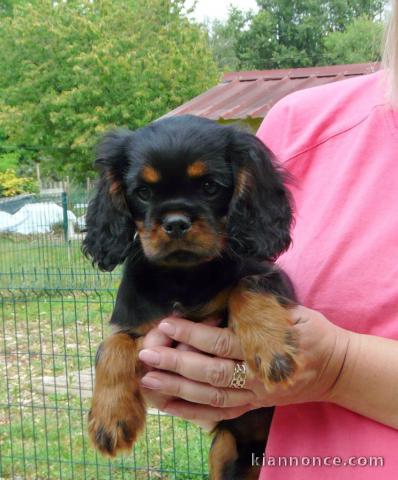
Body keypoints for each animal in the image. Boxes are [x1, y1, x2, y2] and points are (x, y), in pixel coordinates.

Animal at [83, 115, 298, 480]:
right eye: (143, 192)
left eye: (209, 187)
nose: (175, 222)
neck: (182, 274)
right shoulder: (137, 326)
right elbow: (110, 347)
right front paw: (110, 419)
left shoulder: (274, 277)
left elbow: (247, 286)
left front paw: (272, 350)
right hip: (225, 449)